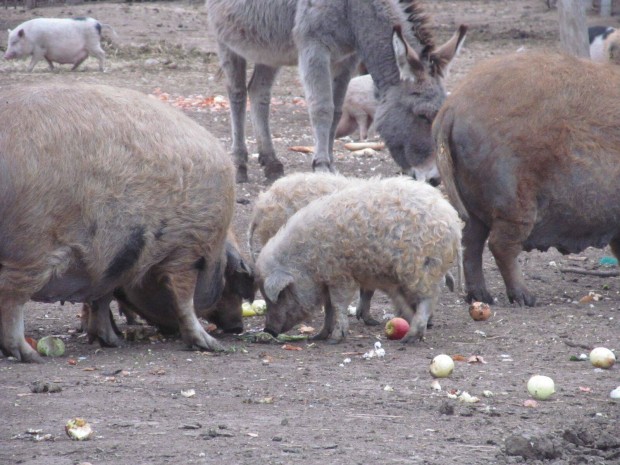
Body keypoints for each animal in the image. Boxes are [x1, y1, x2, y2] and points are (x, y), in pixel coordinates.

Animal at [0, 81, 236, 360]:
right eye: (230, 278)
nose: (238, 327)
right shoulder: (187, 248)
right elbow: (184, 300)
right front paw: (212, 345)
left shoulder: (109, 266)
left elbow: (101, 299)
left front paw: (112, 342)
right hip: (30, 245)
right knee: (11, 299)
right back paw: (31, 356)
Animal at [254, 176, 462, 342]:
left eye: (281, 295)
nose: (268, 330)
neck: (306, 261)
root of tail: (452, 219)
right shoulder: (328, 280)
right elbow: (329, 308)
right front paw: (319, 336)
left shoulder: (339, 275)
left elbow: (338, 304)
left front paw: (335, 339)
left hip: (420, 268)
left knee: (427, 298)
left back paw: (410, 338)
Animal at [434, 50, 620, 306]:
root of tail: (452, 107)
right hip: (514, 202)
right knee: (500, 245)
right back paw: (526, 298)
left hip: (474, 203)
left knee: (471, 242)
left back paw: (482, 297)